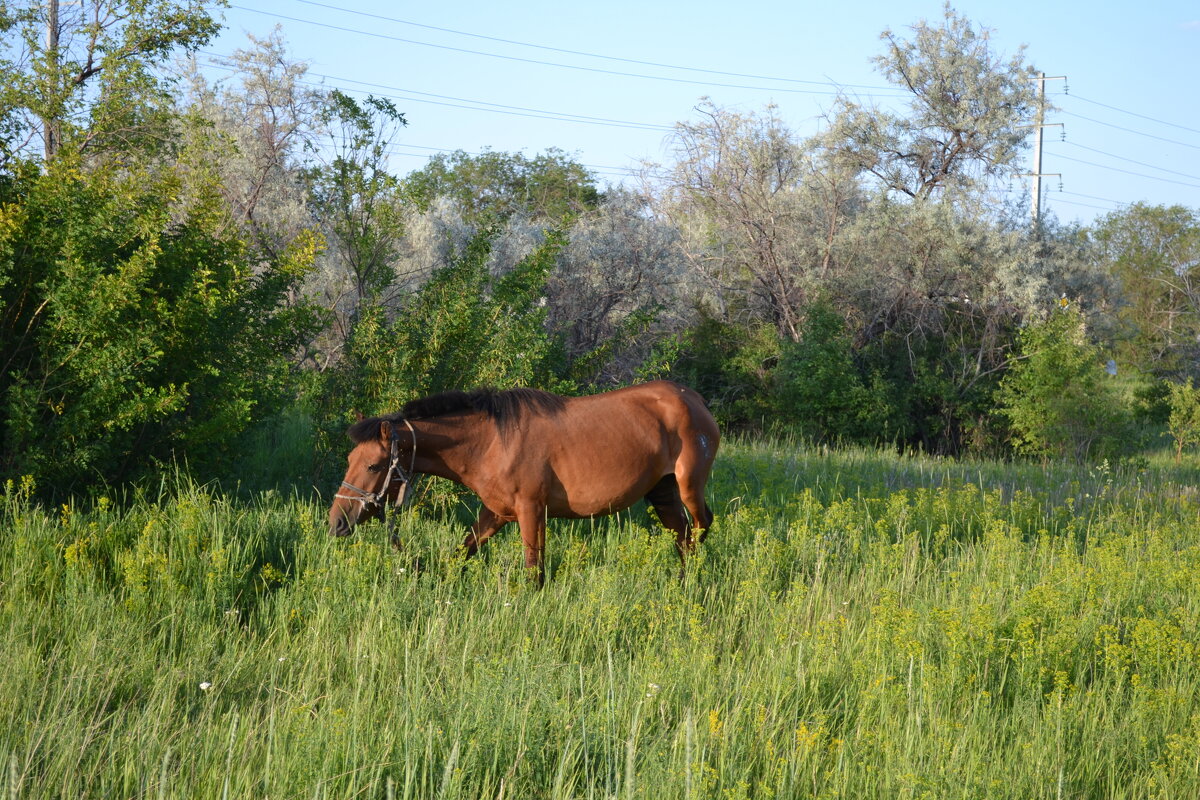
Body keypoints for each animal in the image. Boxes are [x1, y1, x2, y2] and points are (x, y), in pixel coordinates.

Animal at [328, 381, 715, 582]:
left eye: (374, 465)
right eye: (349, 461)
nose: (336, 522)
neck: (491, 442)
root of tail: (693, 398)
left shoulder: (531, 511)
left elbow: (533, 572)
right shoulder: (497, 513)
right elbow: (462, 553)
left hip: (688, 487)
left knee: (700, 527)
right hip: (663, 492)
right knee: (683, 537)